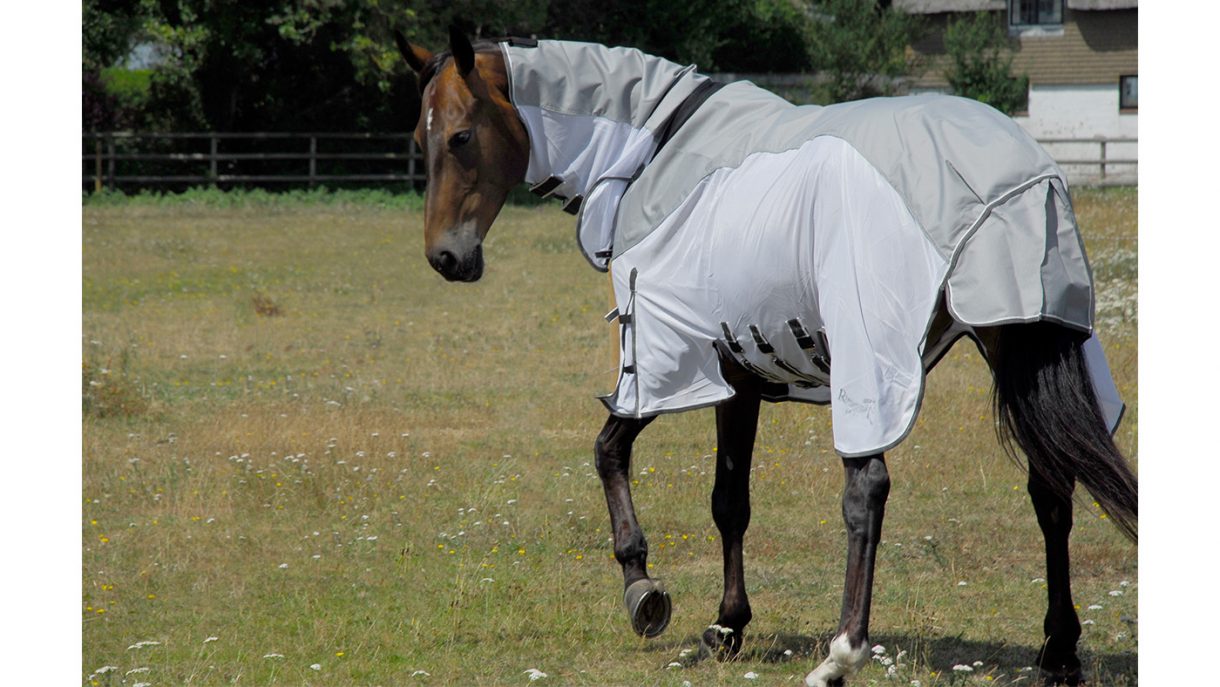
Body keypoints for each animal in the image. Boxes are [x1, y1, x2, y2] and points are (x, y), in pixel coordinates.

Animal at [394, 27, 1137, 687]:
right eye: (419, 142)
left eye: (461, 137)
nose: (445, 258)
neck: (653, 148)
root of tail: (1022, 179)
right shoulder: (739, 376)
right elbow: (730, 502)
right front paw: (727, 625)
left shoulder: (669, 357)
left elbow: (609, 452)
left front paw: (644, 589)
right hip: (1019, 344)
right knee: (1052, 491)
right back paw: (1058, 652)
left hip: (875, 359)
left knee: (867, 490)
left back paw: (842, 654)